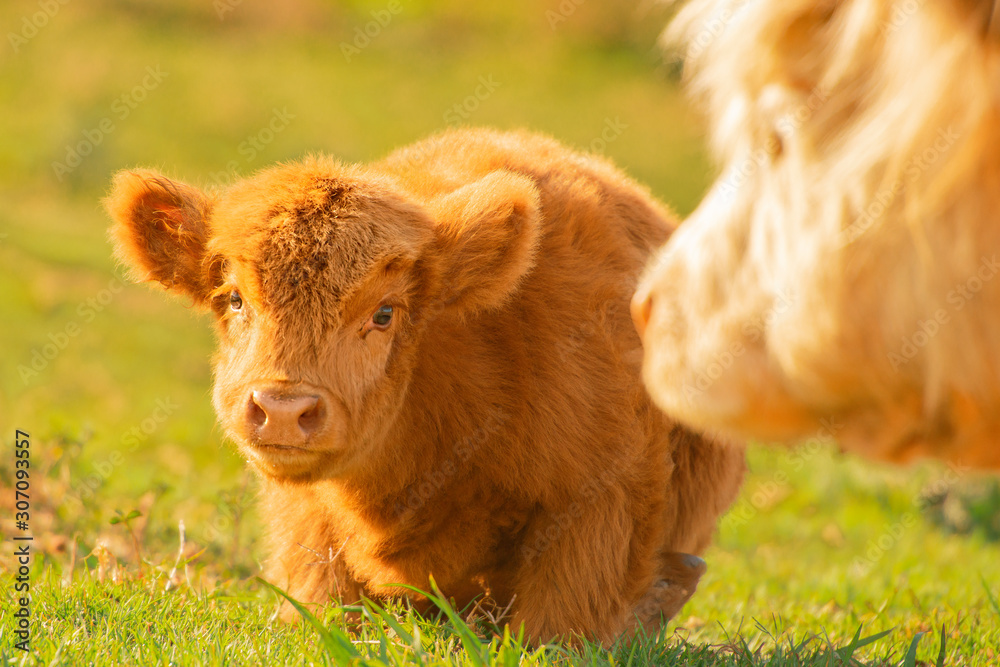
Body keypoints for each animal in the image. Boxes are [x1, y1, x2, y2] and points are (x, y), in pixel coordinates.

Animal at [103, 128, 744, 644]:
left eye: (385, 313)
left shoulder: (602, 500)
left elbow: (560, 626)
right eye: (234, 299)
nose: (283, 409)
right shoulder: (305, 516)